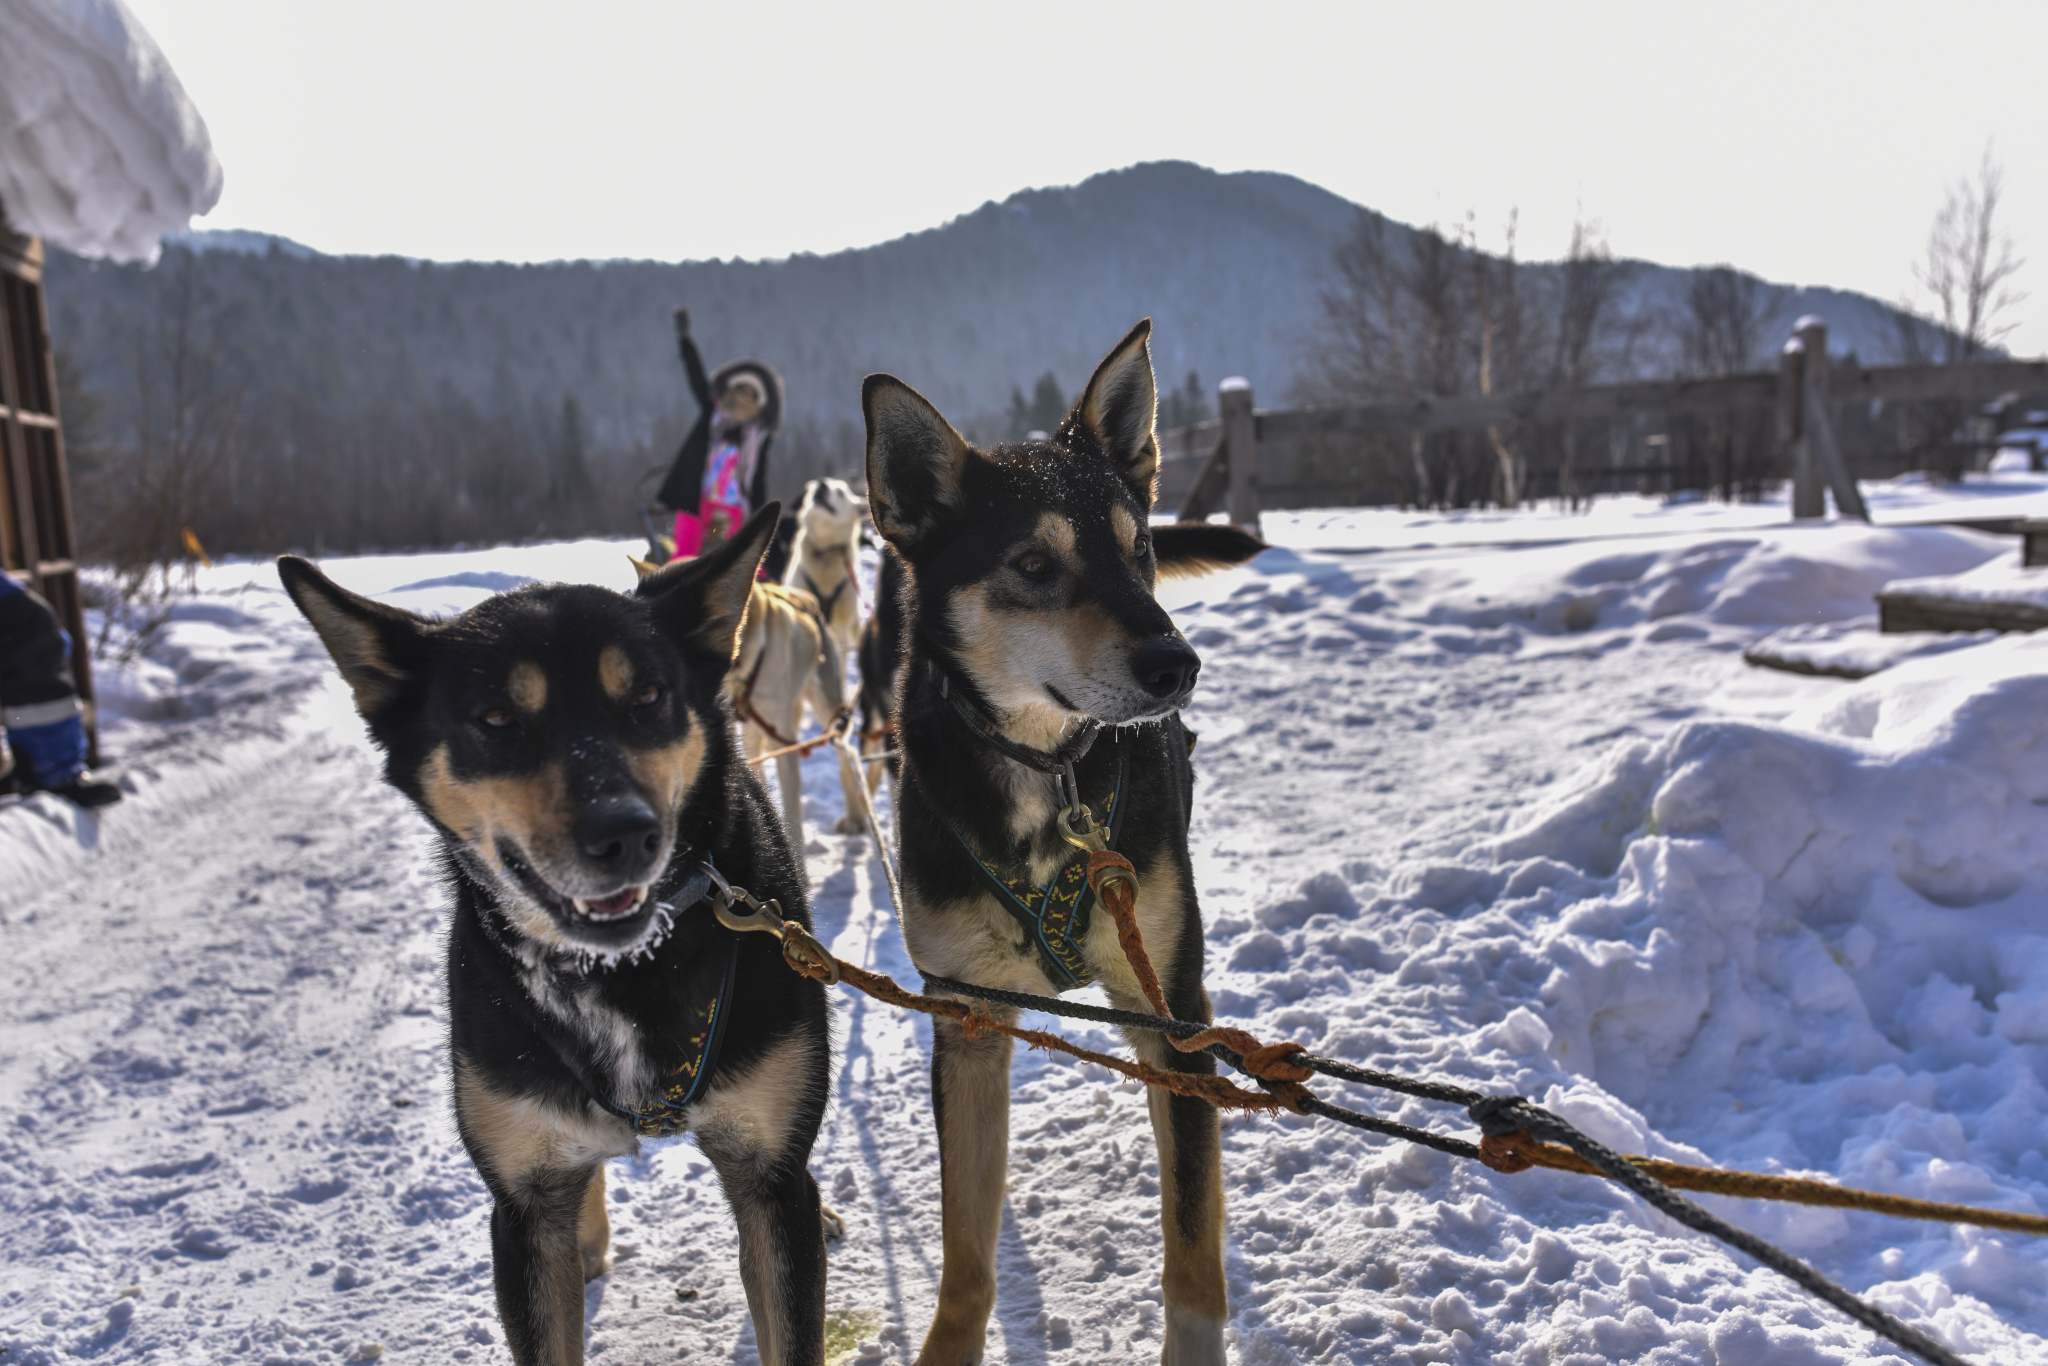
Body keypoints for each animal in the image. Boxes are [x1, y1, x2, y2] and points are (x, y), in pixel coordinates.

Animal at [278, 507, 831, 1359]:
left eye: (647, 695)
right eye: (496, 719)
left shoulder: (771, 1180)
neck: (622, 974)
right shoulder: (523, 1210)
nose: (625, 834)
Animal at [860, 323, 1261, 1366]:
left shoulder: (1176, 1016)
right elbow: (966, 1257)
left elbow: (1191, 1240)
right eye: (1035, 566)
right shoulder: (965, 1024)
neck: (1050, 779)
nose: (1177, 664)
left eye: (1140, 548)